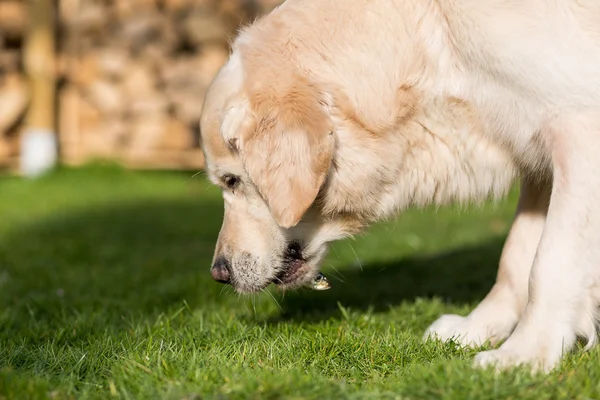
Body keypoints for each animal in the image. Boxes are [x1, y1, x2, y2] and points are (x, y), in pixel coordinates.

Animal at [199, 0, 600, 372]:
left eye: (232, 180)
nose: (219, 273)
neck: (431, 37)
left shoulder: (578, 132)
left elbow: (551, 260)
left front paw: (526, 354)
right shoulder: (535, 151)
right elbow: (517, 255)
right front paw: (478, 328)